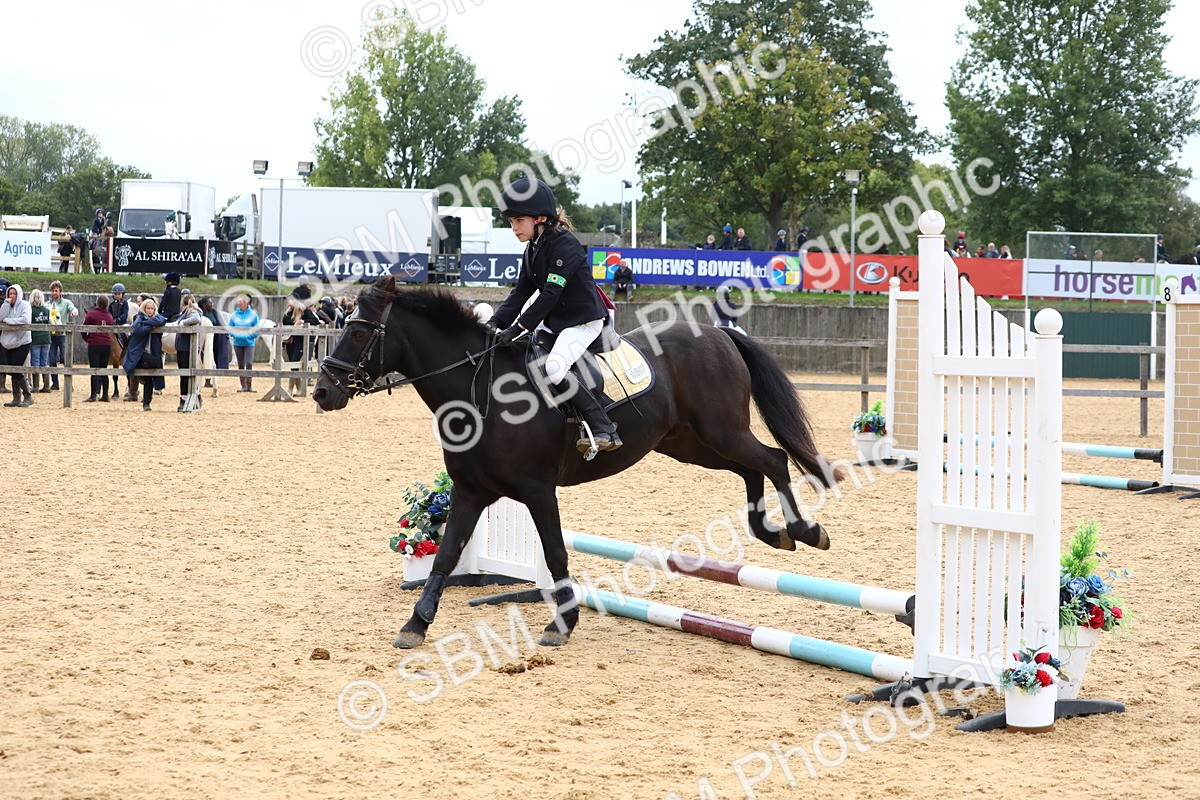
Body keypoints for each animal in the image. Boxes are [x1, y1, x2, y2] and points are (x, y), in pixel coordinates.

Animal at [313, 276, 843, 650]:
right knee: (755, 468)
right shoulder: (470, 491)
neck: (479, 389)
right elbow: (444, 556)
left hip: (721, 433)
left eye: (359, 331)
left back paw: (805, 531)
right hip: (692, 445)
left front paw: (562, 623)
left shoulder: (536, 490)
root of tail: (720, 333)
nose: (322, 393)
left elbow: (554, 553)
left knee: (773, 460)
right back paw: (776, 534)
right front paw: (415, 625)